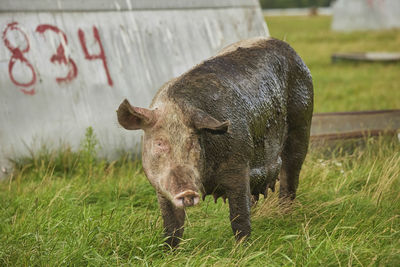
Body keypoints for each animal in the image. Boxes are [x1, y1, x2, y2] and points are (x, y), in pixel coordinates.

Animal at [117, 36, 314, 248]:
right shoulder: (161, 188)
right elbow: (172, 224)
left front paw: (242, 248)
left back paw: (284, 214)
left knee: (290, 177)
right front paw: (169, 251)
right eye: (160, 143)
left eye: (193, 141)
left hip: (302, 123)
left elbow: (238, 214)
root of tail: (286, 46)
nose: (187, 191)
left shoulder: (239, 164)